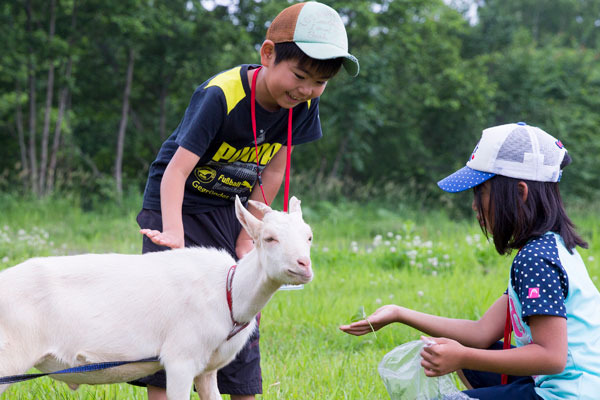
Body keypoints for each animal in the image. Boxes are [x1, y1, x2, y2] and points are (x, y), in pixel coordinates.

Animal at [0, 195, 312, 398]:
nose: (304, 266)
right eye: (269, 238)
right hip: (8, 357)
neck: (229, 292)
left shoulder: (207, 370)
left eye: (308, 237)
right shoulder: (180, 360)